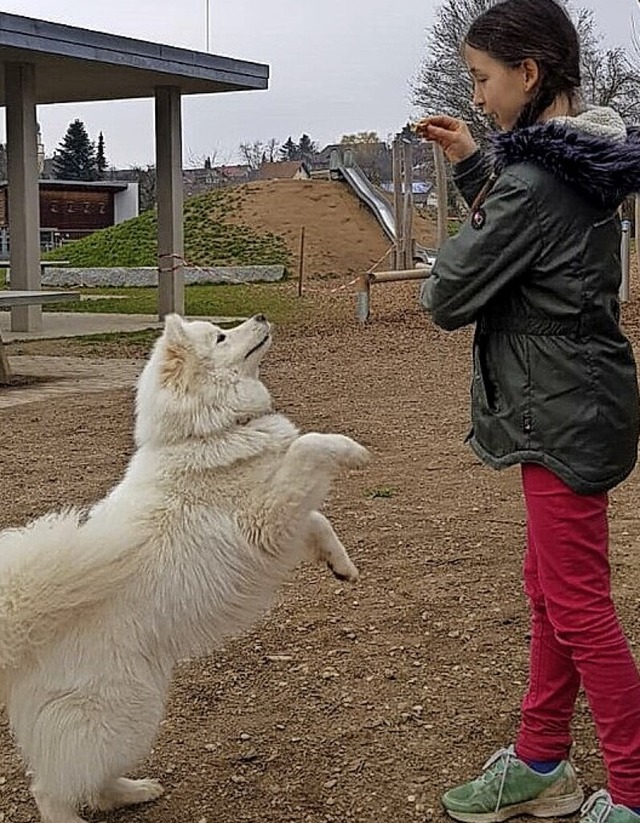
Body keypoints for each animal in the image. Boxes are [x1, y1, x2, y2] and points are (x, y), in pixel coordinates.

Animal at [0, 314, 368, 823]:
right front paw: (352, 450)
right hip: (119, 711)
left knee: (93, 780)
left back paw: (135, 790)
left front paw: (341, 565)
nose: (260, 317)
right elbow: (309, 446)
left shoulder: (285, 518)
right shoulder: (265, 518)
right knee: (52, 789)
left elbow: (319, 519)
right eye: (220, 336)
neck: (208, 431)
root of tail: (25, 632)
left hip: (139, 710)